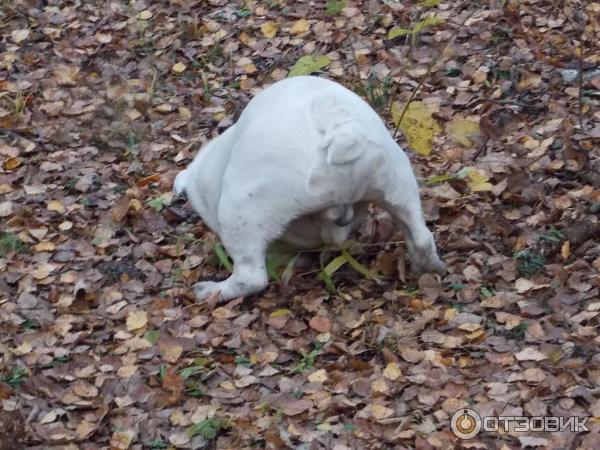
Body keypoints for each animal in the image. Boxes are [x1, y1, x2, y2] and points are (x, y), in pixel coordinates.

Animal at [175, 76, 446, 302]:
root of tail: (338, 127)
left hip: (243, 211)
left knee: (251, 278)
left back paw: (211, 291)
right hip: (397, 184)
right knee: (421, 235)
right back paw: (426, 266)